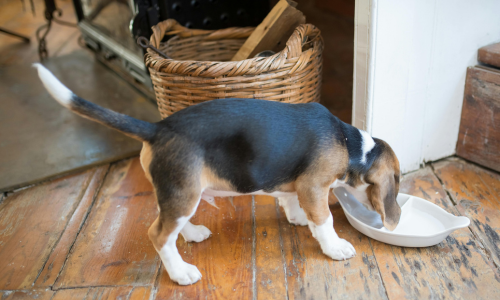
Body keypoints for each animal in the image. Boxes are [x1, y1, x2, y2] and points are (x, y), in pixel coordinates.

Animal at [34, 63, 402, 286]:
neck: (352, 145)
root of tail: (157, 128)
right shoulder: (314, 185)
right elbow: (324, 220)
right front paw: (334, 246)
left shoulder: (297, 184)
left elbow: (289, 200)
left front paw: (298, 216)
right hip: (184, 193)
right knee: (158, 234)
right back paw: (180, 272)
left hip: (178, 193)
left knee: (167, 222)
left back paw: (193, 233)